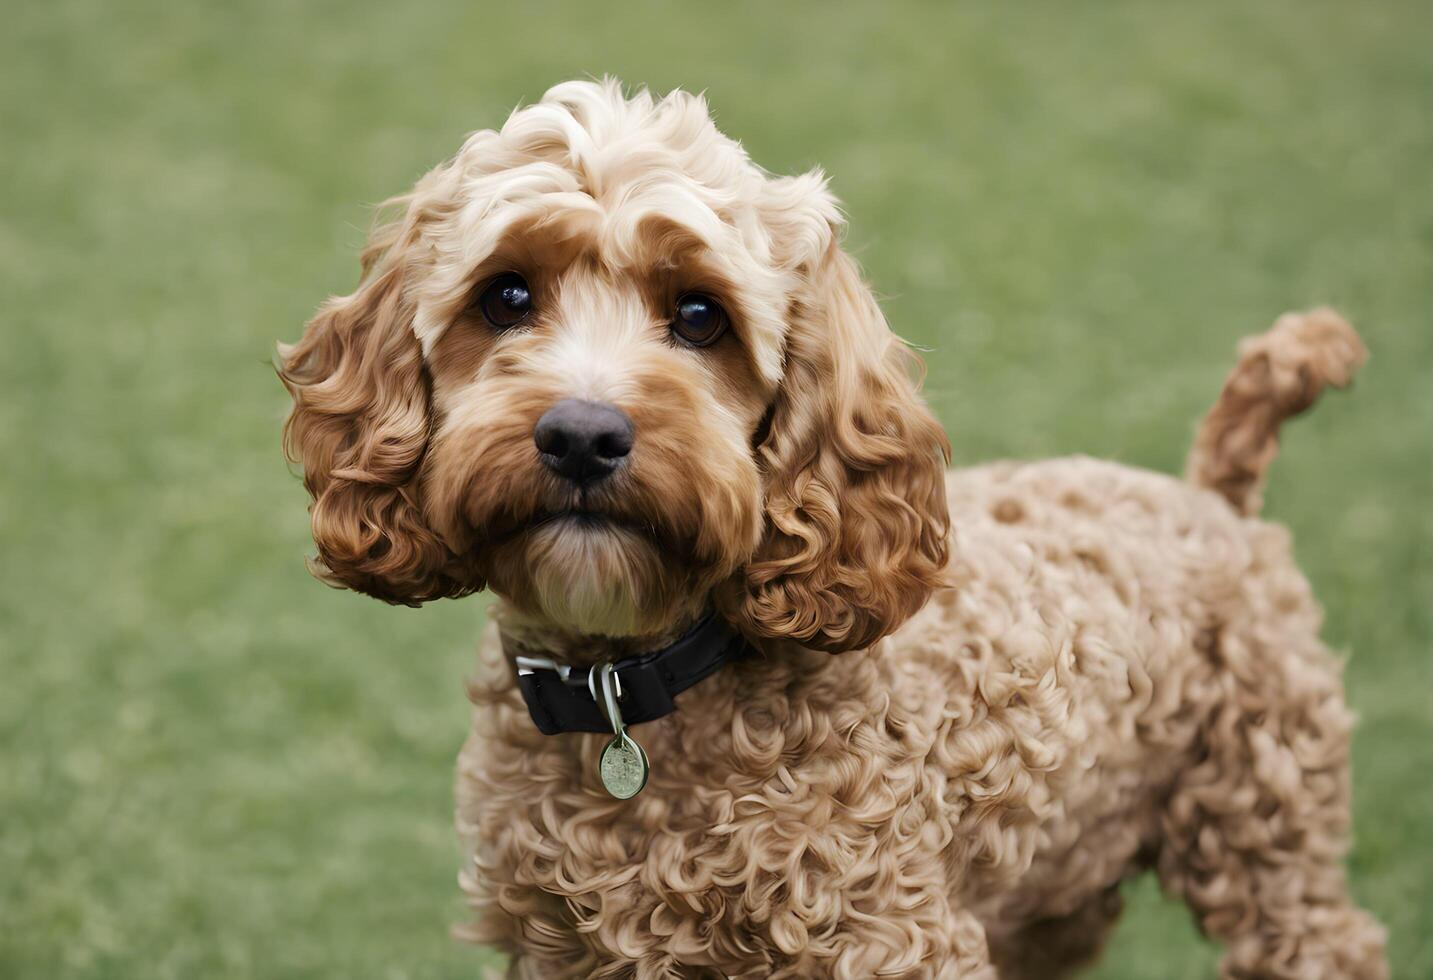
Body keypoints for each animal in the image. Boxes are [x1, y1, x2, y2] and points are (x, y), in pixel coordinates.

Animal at [279, 78, 1387, 980]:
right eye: (505, 295)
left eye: (699, 315)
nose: (583, 435)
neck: (632, 691)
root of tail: (1213, 496)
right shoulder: (560, 947)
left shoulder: (886, 934)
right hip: (1062, 874)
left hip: (1263, 826)